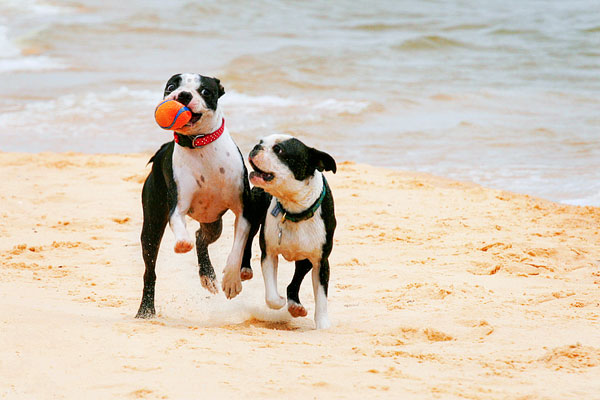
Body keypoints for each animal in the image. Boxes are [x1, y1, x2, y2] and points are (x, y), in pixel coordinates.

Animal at [136, 74, 258, 318]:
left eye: (205, 91)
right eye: (171, 86)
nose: (183, 95)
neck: (199, 143)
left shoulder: (243, 211)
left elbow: (237, 250)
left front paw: (232, 281)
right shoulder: (177, 207)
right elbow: (180, 229)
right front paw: (182, 244)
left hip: (213, 224)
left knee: (201, 236)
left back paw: (208, 276)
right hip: (152, 226)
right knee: (150, 270)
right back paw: (145, 310)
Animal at [246, 134, 336, 328]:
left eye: (278, 149)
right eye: (261, 142)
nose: (256, 146)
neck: (294, 209)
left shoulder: (321, 261)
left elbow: (322, 296)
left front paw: (323, 324)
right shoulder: (269, 253)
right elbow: (271, 296)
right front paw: (279, 301)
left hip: (306, 258)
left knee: (295, 280)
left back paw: (295, 305)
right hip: (253, 215)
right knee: (246, 241)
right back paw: (245, 269)